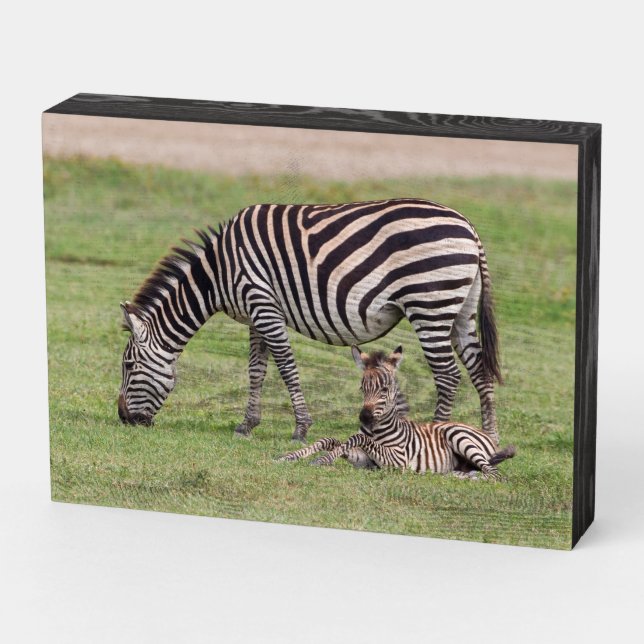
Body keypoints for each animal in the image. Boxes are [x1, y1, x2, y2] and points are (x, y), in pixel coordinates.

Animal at [118, 198, 502, 442]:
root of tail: (468, 226)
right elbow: (256, 371)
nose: (123, 419)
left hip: (430, 304)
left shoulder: (263, 303)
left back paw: (439, 434)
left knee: (448, 375)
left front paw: (301, 428)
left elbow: (286, 367)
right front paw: (247, 425)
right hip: (460, 310)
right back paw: (490, 438)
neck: (218, 273)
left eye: (128, 365)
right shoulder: (256, 315)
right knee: (479, 371)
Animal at [278, 346, 516, 479]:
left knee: (495, 474)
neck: (377, 429)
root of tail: (486, 434)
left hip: (459, 436)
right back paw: (455, 474)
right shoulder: (365, 461)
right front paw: (291, 456)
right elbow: (332, 440)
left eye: (385, 389)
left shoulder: (398, 460)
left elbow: (356, 438)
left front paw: (322, 460)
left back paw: (468, 477)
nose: (364, 418)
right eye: (362, 388)